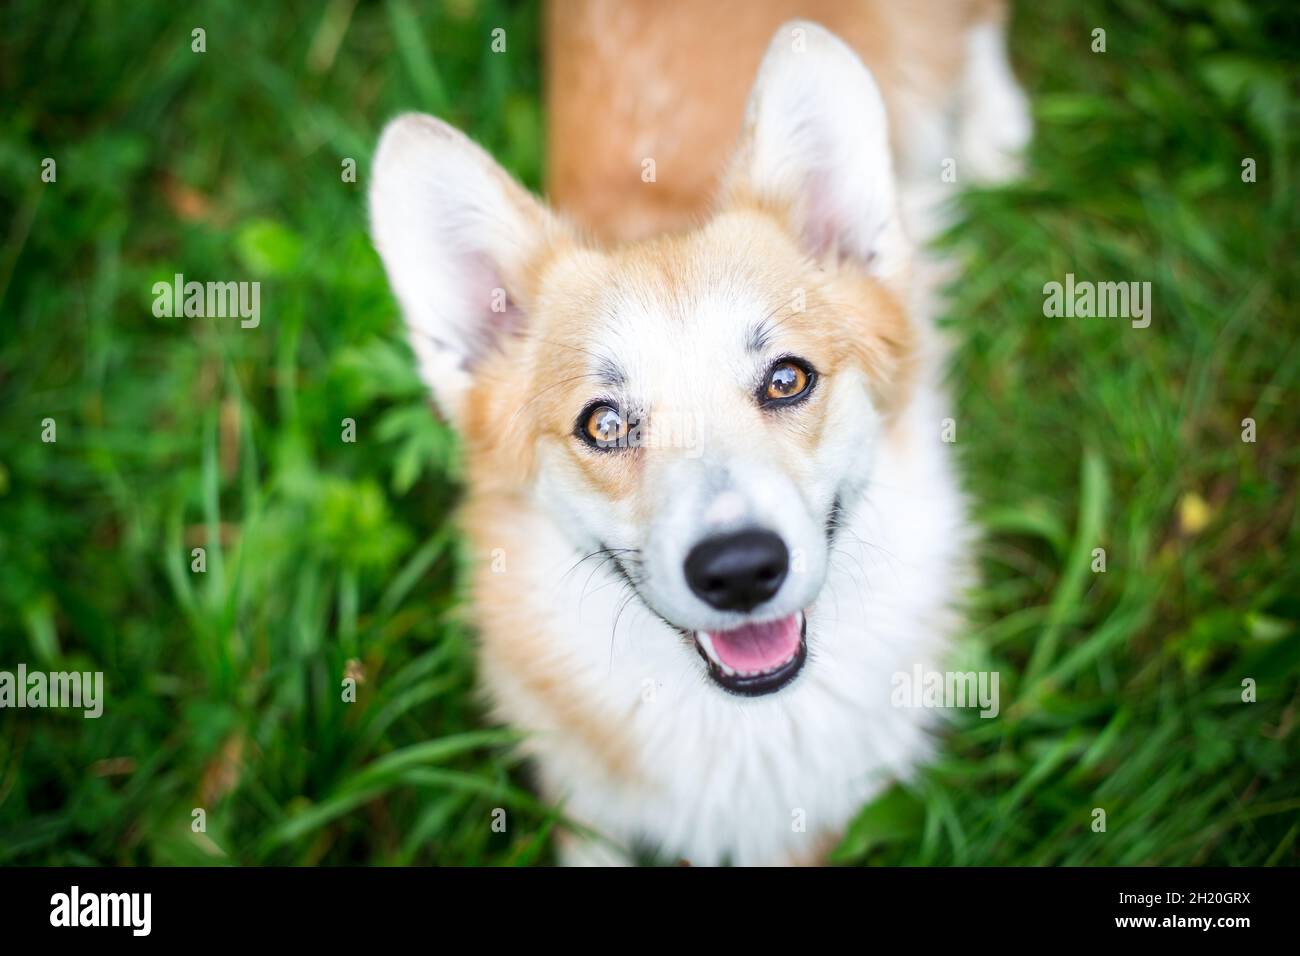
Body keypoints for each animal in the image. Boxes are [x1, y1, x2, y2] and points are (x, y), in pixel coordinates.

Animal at [371, 0, 1029, 868]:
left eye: (787, 379)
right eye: (604, 423)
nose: (741, 571)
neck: (740, 726)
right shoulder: (586, 808)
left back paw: (994, 127)